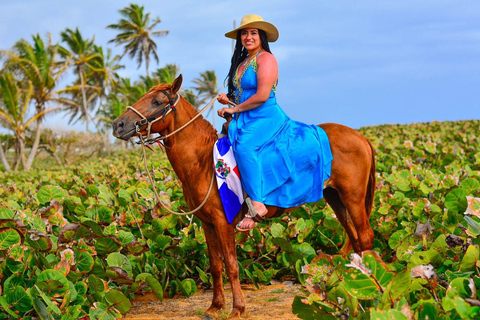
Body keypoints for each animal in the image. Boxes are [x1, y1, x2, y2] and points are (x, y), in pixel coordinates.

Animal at [112, 75, 376, 318]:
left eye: (157, 101)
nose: (118, 125)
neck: (203, 162)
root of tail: (360, 137)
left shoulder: (223, 221)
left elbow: (231, 265)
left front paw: (237, 308)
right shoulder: (207, 223)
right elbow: (215, 265)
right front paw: (215, 306)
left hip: (353, 199)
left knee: (364, 238)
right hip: (336, 199)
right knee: (354, 239)